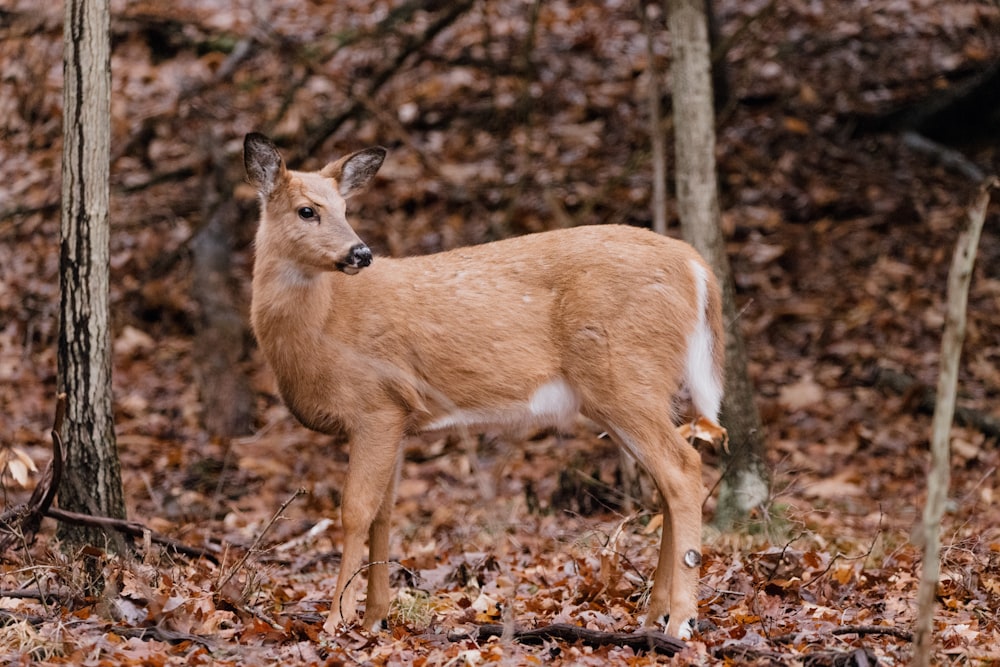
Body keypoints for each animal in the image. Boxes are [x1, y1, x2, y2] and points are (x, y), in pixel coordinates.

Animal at [242, 133, 728, 640]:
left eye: (344, 208)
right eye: (307, 211)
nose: (360, 253)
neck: (324, 325)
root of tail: (696, 266)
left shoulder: (374, 405)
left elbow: (355, 510)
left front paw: (338, 621)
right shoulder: (398, 417)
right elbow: (385, 513)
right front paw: (377, 617)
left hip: (628, 378)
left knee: (683, 470)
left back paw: (681, 621)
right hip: (632, 389)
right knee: (667, 483)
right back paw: (655, 617)